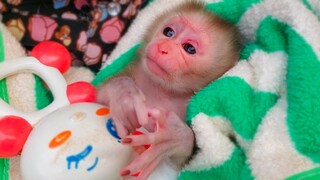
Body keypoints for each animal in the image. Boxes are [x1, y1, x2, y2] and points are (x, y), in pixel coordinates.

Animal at [97, 1, 240, 179]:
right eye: (169, 32)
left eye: (189, 48)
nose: (163, 47)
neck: (163, 90)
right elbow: (95, 93)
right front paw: (124, 94)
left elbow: (182, 161)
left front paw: (172, 138)